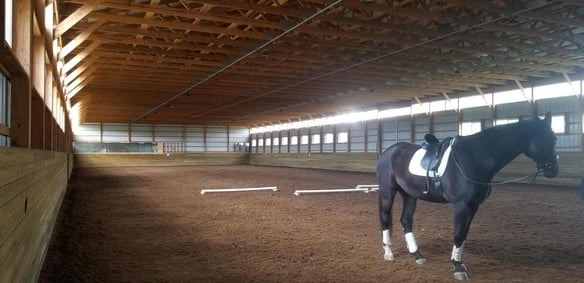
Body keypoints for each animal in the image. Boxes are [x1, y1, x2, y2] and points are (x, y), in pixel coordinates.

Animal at [376, 112, 560, 280]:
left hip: (409, 195)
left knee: (406, 221)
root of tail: (387, 153)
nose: (553, 170)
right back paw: (388, 252)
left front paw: (459, 263)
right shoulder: (461, 205)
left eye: (555, 139)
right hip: (388, 192)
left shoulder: (473, 205)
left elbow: (464, 234)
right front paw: (457, 268)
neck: (474, 157)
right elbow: (457, 234)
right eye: (550, 138)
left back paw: (417, 255)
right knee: (385, 218)